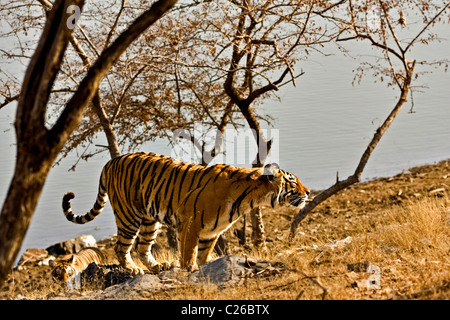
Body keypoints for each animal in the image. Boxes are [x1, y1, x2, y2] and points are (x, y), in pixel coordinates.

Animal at [62, 152, 310, 272]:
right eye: (293, 182)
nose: (308, 192)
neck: (250, 198)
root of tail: (111, 161)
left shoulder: (212, 232)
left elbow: (203, 254)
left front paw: (201, 269)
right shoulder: (192, 223)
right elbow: (189, 252)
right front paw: (188, 270)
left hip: (149, 221)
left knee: (142, 247)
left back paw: (157, 266)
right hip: (128, 216)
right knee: (121, 247)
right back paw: (133, 270)